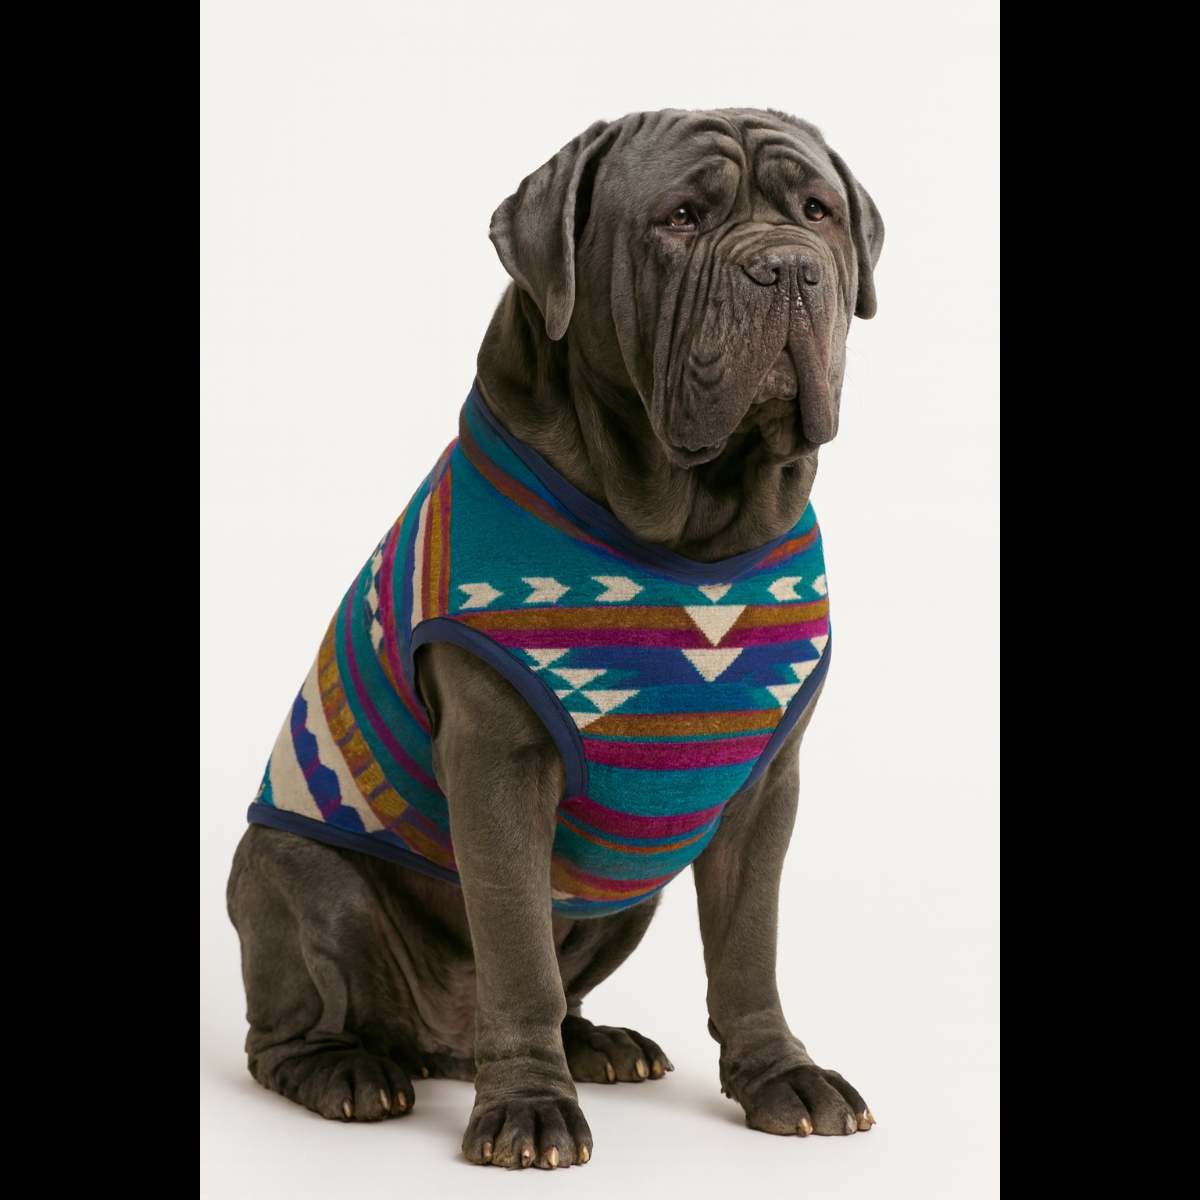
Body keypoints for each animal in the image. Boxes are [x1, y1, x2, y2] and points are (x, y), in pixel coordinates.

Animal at [228, 107, 884, 1169]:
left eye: (818, 212)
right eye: (680, 219)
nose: (788, 267)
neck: (693, 533)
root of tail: (441, 1047)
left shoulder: (762, 791)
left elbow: (749, 946)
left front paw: (779, 1076)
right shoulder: (499, 767)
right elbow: (516, 951)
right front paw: (529, 1106)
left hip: (627, 893)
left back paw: (597, 1043)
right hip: (298, 871)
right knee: (285, 1031)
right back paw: (350, 1072)